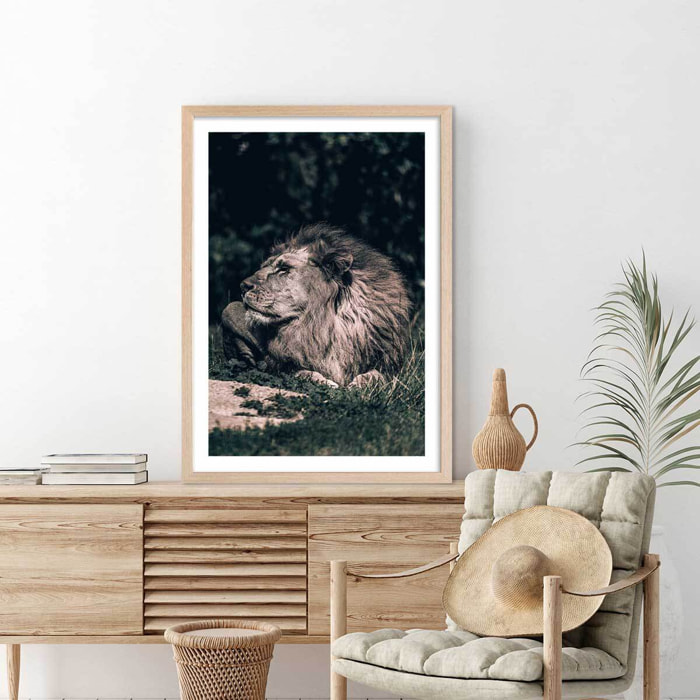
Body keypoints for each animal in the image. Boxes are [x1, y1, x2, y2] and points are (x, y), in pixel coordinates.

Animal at [220, 224, 412, 388]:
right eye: (264, 267)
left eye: (284, 269)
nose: (243, 286)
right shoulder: (281, 364)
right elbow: (304, 372)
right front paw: (327, 383)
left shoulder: (389, 365)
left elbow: (377, 376)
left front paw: (358, 384)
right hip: (228, 310)